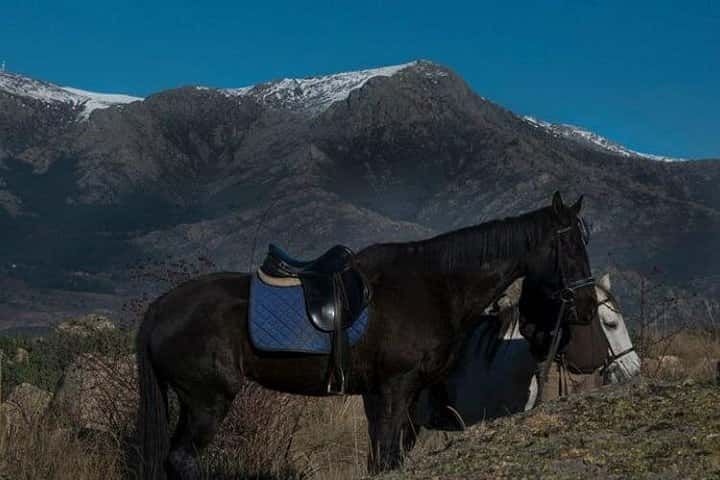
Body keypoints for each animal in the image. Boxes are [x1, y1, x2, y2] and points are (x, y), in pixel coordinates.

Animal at [135, 192, 599, 478]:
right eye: (569, 246)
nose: (587, 307)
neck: (433, 286)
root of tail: (159, 308)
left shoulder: (392, 395)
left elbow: (384, 460)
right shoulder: (396, 388)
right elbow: (388, 457)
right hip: (207, 400)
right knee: (183, 460)